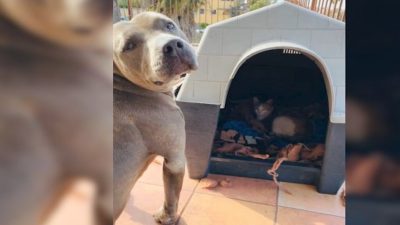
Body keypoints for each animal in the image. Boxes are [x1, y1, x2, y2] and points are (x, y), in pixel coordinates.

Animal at [113, 12, 198, 225]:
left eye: (169, 25)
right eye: (129, 46)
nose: (173, 46)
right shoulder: (175, 160)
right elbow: (172, 196)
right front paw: (167, 217)